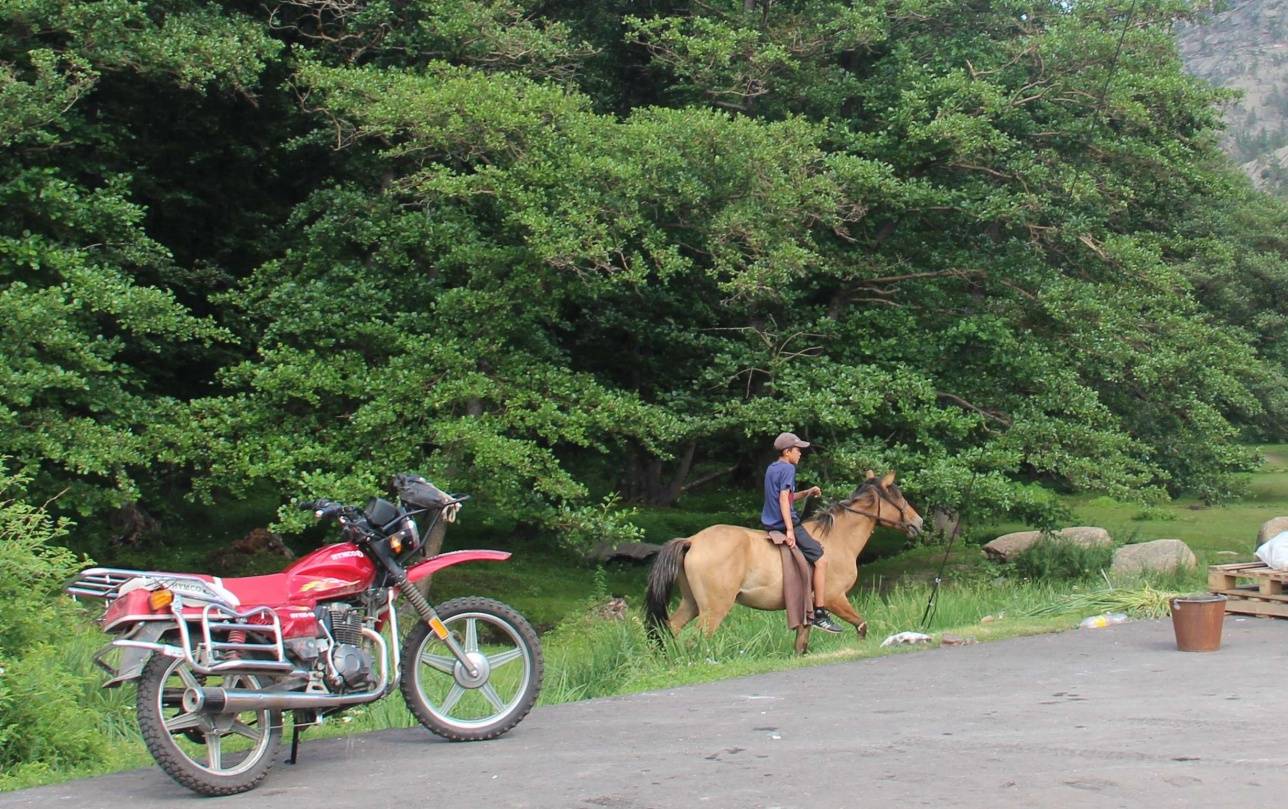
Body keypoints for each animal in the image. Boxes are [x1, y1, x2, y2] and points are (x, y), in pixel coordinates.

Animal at [649, 471, 922, 654]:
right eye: (898, 496)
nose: (918, 522)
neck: (837, 539)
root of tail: (692, 540)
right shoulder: (834, 598)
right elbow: (861, 625)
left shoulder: (806, 610)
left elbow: (801, 643)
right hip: (713, 609)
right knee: (696, 639)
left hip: (691, 604)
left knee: (670, 629)